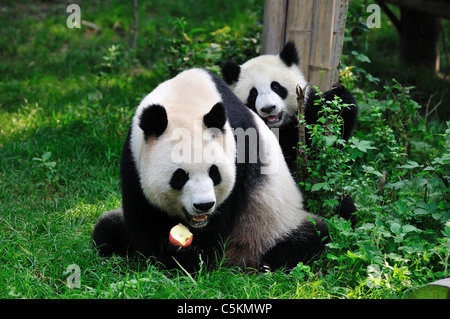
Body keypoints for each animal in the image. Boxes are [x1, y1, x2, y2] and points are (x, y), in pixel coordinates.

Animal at [92, 67, 330, 272]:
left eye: (214, 172)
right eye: (179, 176)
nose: (203, 205)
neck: (184, 102)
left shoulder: (239, 150)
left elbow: (220, 220)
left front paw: (195, 258)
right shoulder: (134, 155)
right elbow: (141, 215)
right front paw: (171, 254)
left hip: (272, 223)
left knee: (310, 237)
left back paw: (265, 264)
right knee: (106, 229)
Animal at [221, 41, 358, 224]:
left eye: (276, 86)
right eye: (253, 93)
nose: (268, 108)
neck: (278, 127)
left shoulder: (308, 113)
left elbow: (334, 144)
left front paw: (338, 97)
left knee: (345, 205)